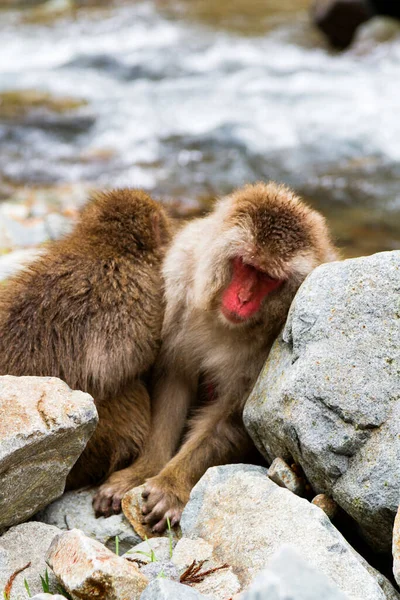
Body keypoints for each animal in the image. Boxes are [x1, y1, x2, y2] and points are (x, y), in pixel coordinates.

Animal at [104, 180, 340, 528]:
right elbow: (174, 380)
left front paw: (170, 485)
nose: (242, 299)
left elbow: (230, 419)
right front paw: (145, 470)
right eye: (246, 265)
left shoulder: (274, 344)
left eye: (268, 278)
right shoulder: (179, 285)